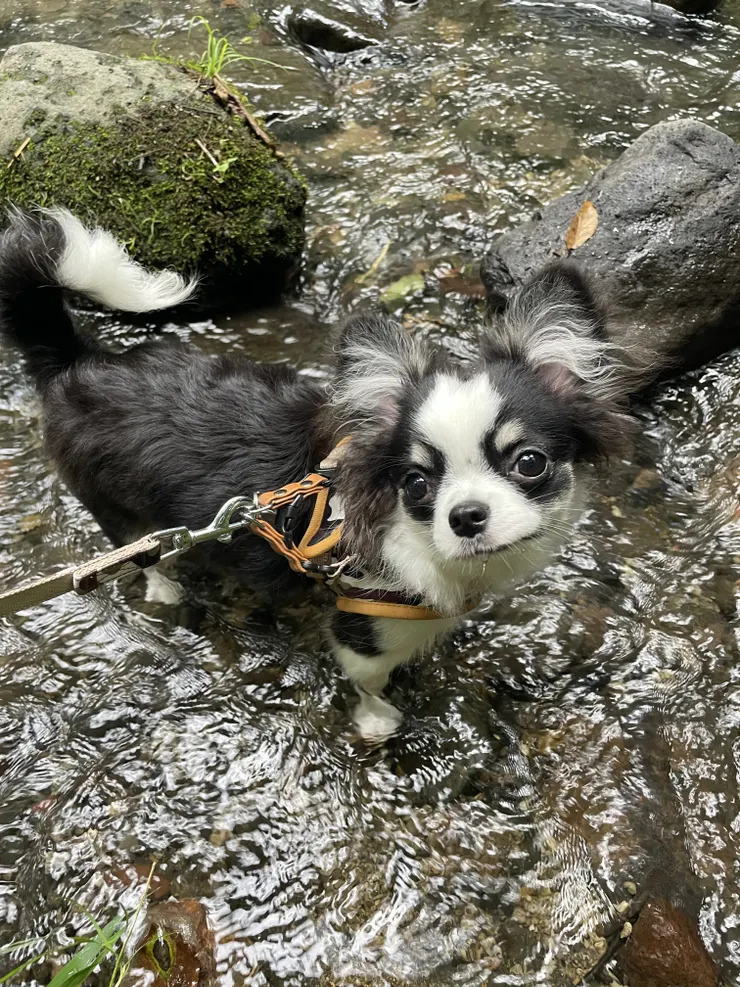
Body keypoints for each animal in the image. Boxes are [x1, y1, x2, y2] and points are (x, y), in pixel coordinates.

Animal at [0, 208, 632, 741]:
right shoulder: (360, 627)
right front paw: (378, 720)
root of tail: (81, 364)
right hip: (116, 510)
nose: (466, 516)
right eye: (417, 484)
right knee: (136, 549)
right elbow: (368, 679)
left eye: (529, 463)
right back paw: (163, 584)